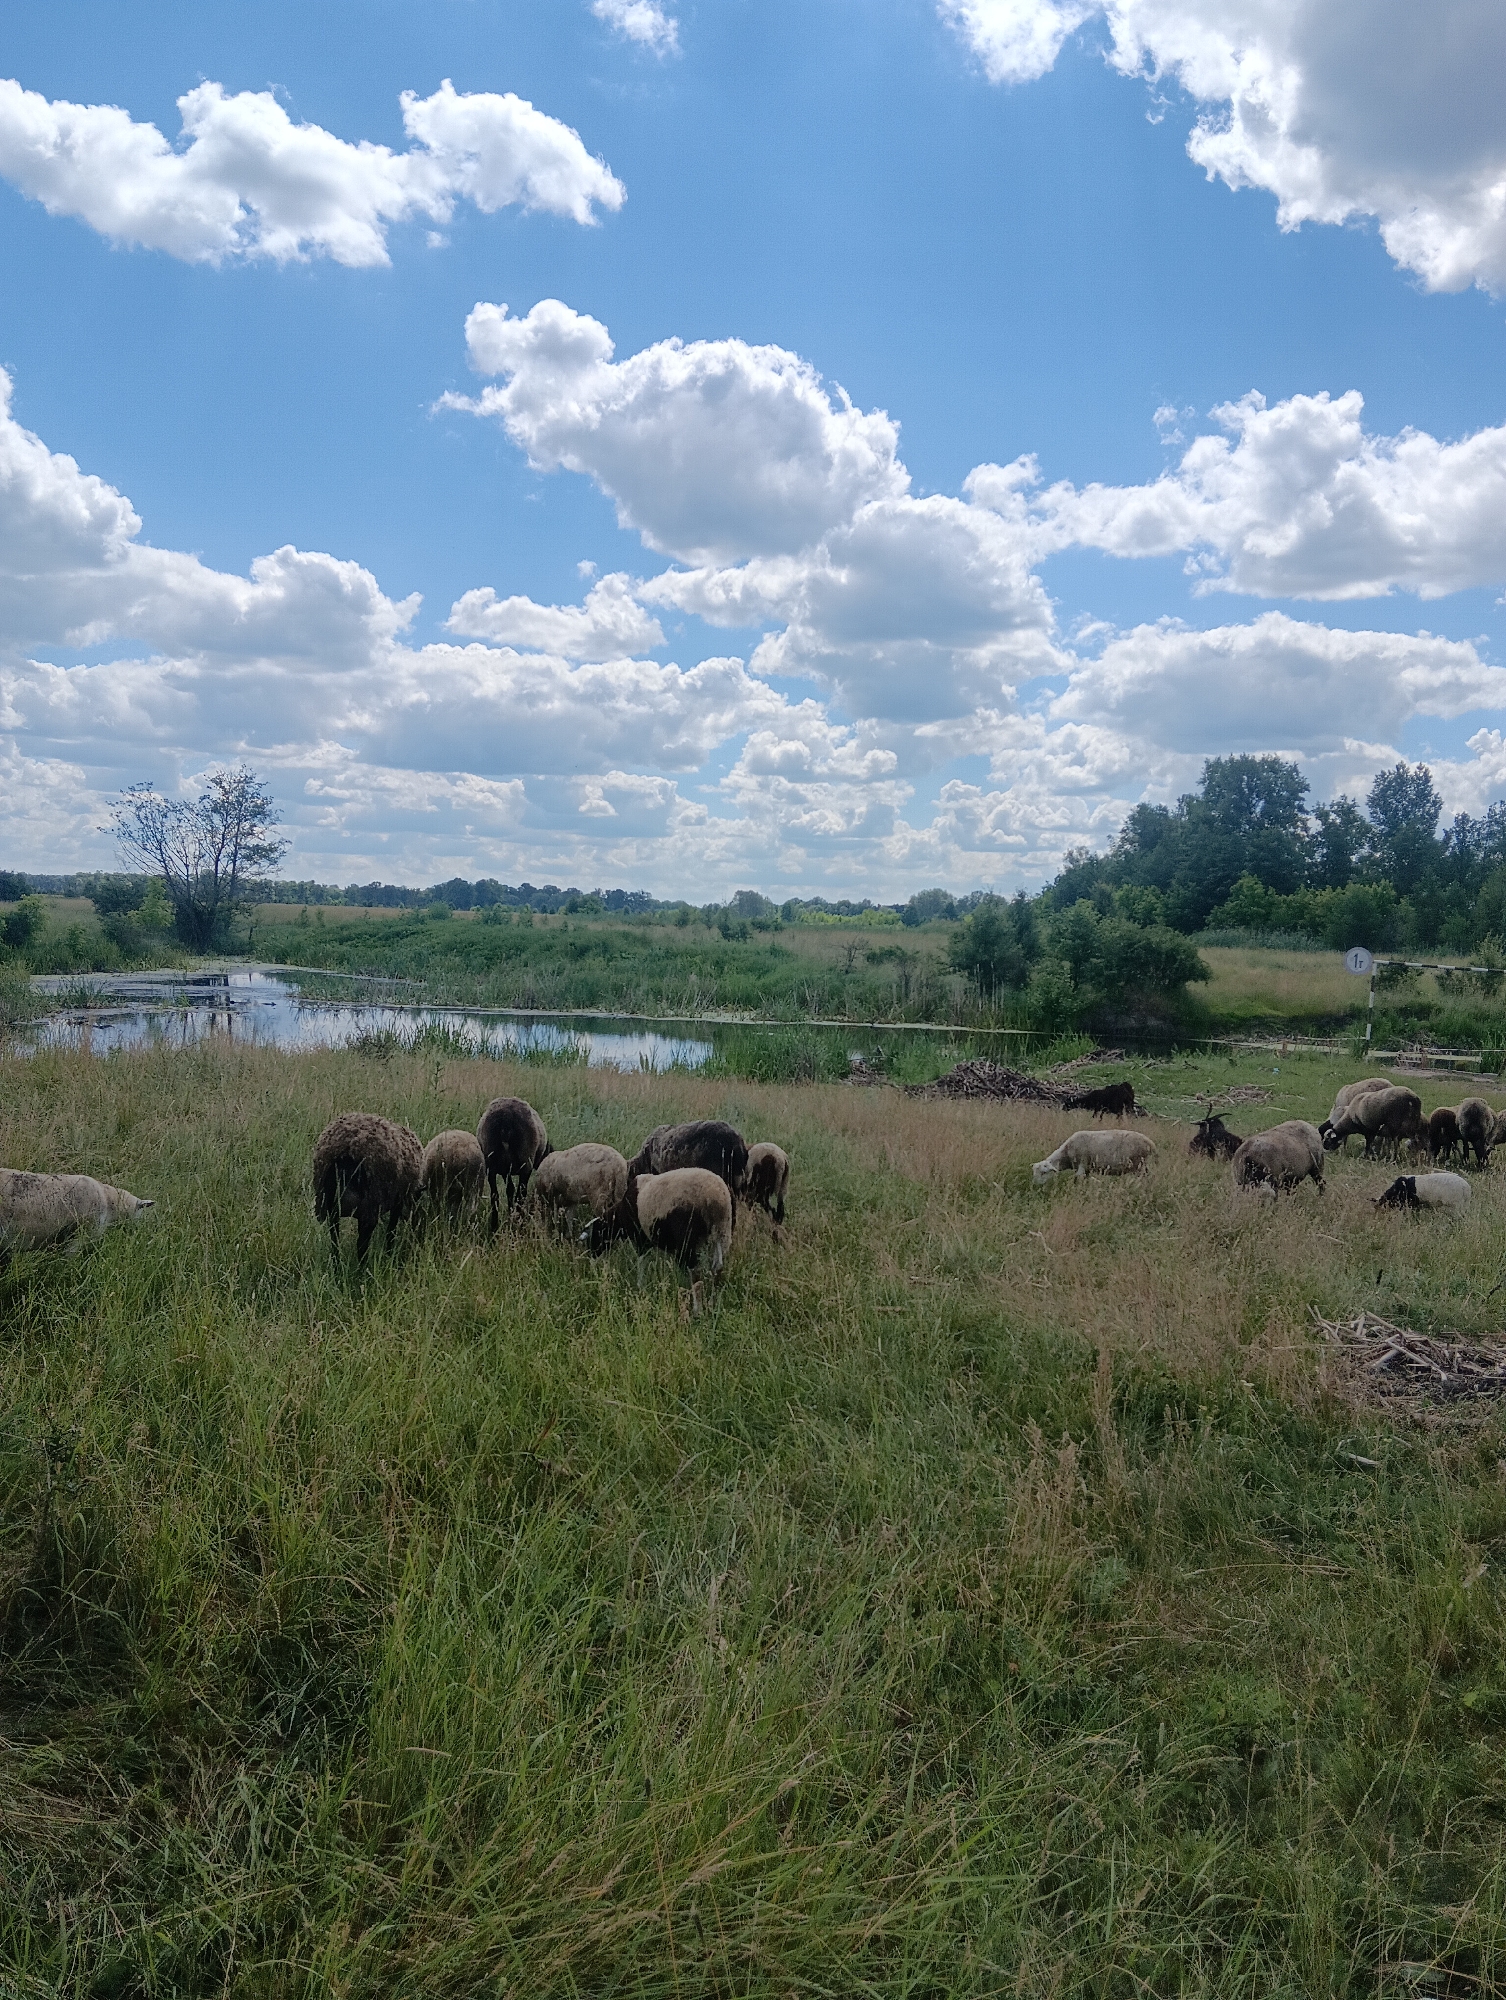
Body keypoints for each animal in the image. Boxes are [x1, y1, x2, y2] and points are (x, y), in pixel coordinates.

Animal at [312, 1112, 423, 1263]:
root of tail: (348, 1148)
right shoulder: (398, 1202)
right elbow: (391, 1231)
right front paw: (389, 1254)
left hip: (327, 1201)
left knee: (334, 1237)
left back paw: (337, 1263)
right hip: (371, 1203)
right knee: (362, 1244)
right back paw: (362, 1267)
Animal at [477, 1096, 550, 1227]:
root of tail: (507, 1116)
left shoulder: (505, 1171)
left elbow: (509, 1190)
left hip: (491, 1164)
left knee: (495, 1195)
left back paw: (494, 1226)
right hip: (525, 1162)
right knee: (521, 1194)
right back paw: (518, 1223)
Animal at [587, 1167, 734, 1312]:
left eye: (594, 1236)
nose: (592, 1261)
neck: (619, 1216)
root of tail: (715, 1196)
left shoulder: (641, 1238)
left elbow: (641, 1261)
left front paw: (640, 1286)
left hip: (687, 1236)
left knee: (695, 1272)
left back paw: (697, 1310)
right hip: (722, 1230)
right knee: (717, 1266)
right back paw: (713, 1302)